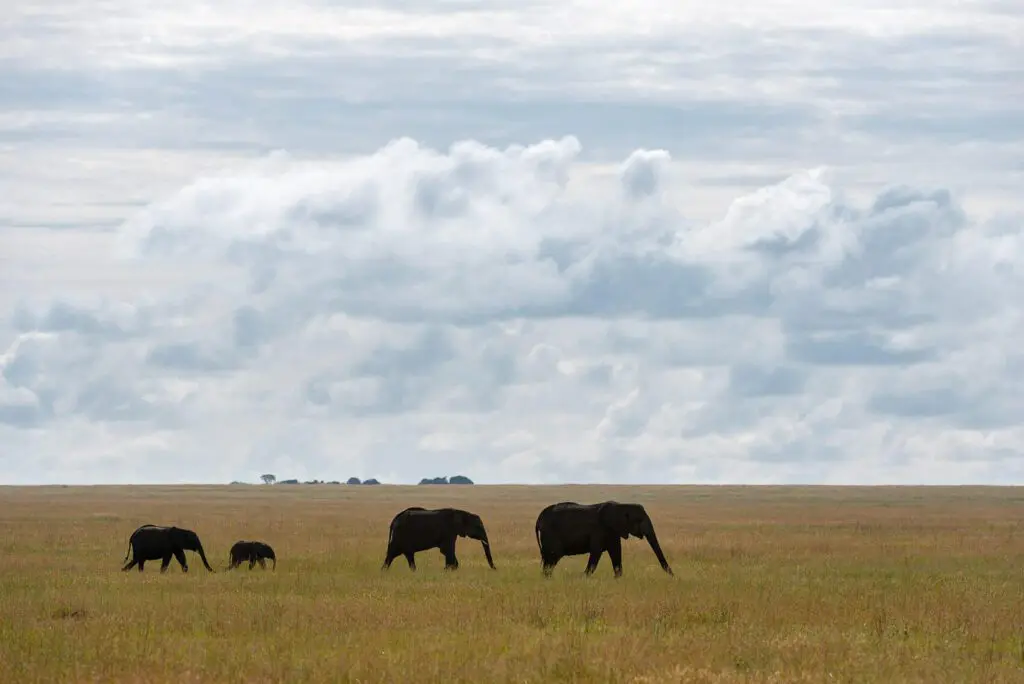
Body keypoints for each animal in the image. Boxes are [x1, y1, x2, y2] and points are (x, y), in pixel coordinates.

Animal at [532, 501, 675, 577]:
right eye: (639, 520)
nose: (673, 576)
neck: (622, 506)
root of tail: (539, 518)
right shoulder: (600, 530)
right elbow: (596, 552)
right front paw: (583, 578)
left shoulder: (613, 531)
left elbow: (616, 552)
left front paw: (618, 579)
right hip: (551, 535)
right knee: (552, 558)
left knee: (549, 560)